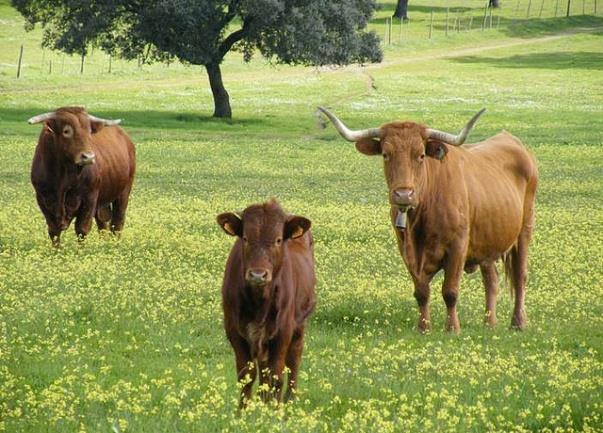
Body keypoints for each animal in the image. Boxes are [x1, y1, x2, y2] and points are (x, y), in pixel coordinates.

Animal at [28, 106, 136, 245]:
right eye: (66, 131)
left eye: (89, 131)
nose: (88, 157)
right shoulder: (42, 198)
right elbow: (54, 231)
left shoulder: (89, 198)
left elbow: (82, 229)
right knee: (103, 224)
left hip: (124, 191)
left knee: (117, 222)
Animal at [219, 199, 318, 404]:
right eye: (245, 238)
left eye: (278, 240)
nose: (258, 274)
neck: (259, 302)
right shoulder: (235, 331)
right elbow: (246, 377)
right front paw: (243, 410)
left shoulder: (282, 331)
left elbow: (276, 377)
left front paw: (274, 409)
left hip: (299, 324)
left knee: (294, 358)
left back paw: (289, 399)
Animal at [318, 107, 540, 330]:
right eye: (386, 154)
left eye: (421, 155)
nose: (403, 194)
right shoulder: (407, 250)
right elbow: (421, 292)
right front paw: (423, 327)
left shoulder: (458, 245)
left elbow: (450, 291)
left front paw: (452, 328)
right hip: (488, 241)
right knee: (491, 280)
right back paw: (490, 323)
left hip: (525, 229)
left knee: (520, 276)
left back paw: (518, 322)